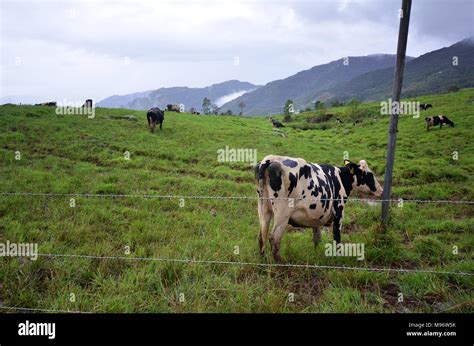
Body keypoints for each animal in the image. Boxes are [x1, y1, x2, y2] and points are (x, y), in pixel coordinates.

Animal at [254, 155, 384, 262]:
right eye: (370, 174)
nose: (381, 190)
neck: (340, 178)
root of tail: (270, 159)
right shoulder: (339, 211)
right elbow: (337, 236)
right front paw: (337, 257)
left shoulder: (316, 216)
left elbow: (317, 237)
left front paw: (315, 254)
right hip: (282, 213)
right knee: (274, 238)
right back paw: (280, 265)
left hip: (263, 208)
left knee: (261, 236)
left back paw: (262, 261)